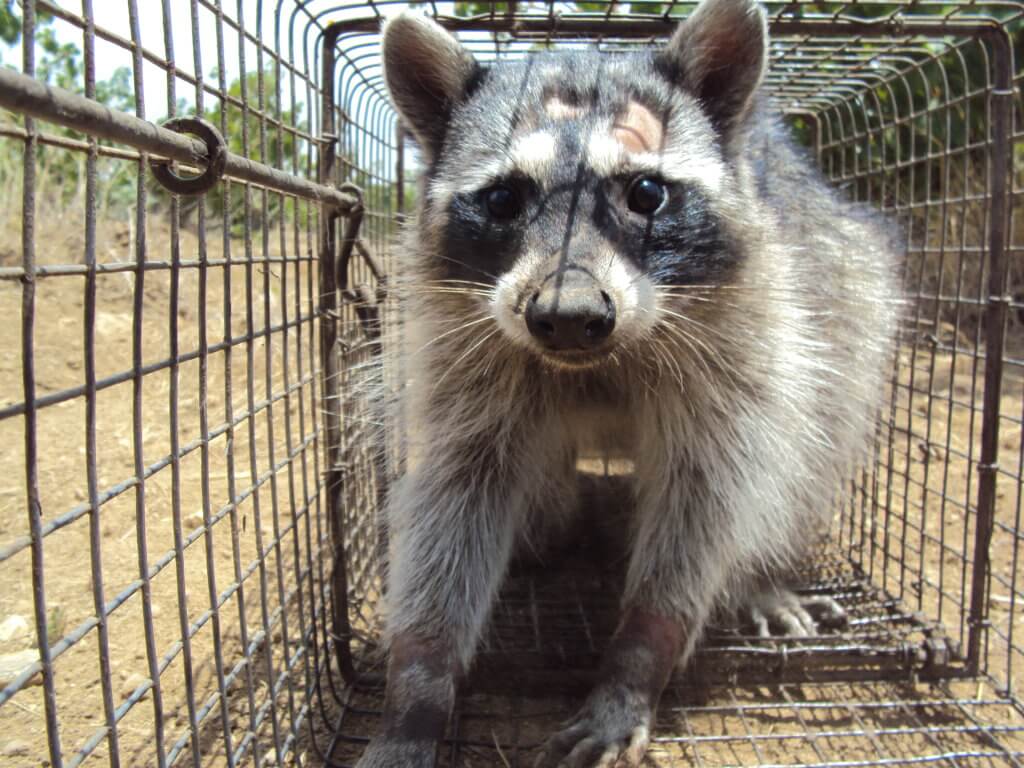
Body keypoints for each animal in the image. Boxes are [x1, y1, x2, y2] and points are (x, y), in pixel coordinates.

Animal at [358, 1, 897, 765]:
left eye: (645, 193)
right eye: (503, 199)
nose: (567, 319)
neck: (594, 364)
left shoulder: (748, 330)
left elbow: (707, 498)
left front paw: (639, 657)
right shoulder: (461, 341)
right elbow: (457, 491)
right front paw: (419, 683)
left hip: (841, 286)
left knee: (816, 431)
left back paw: (761, 575)